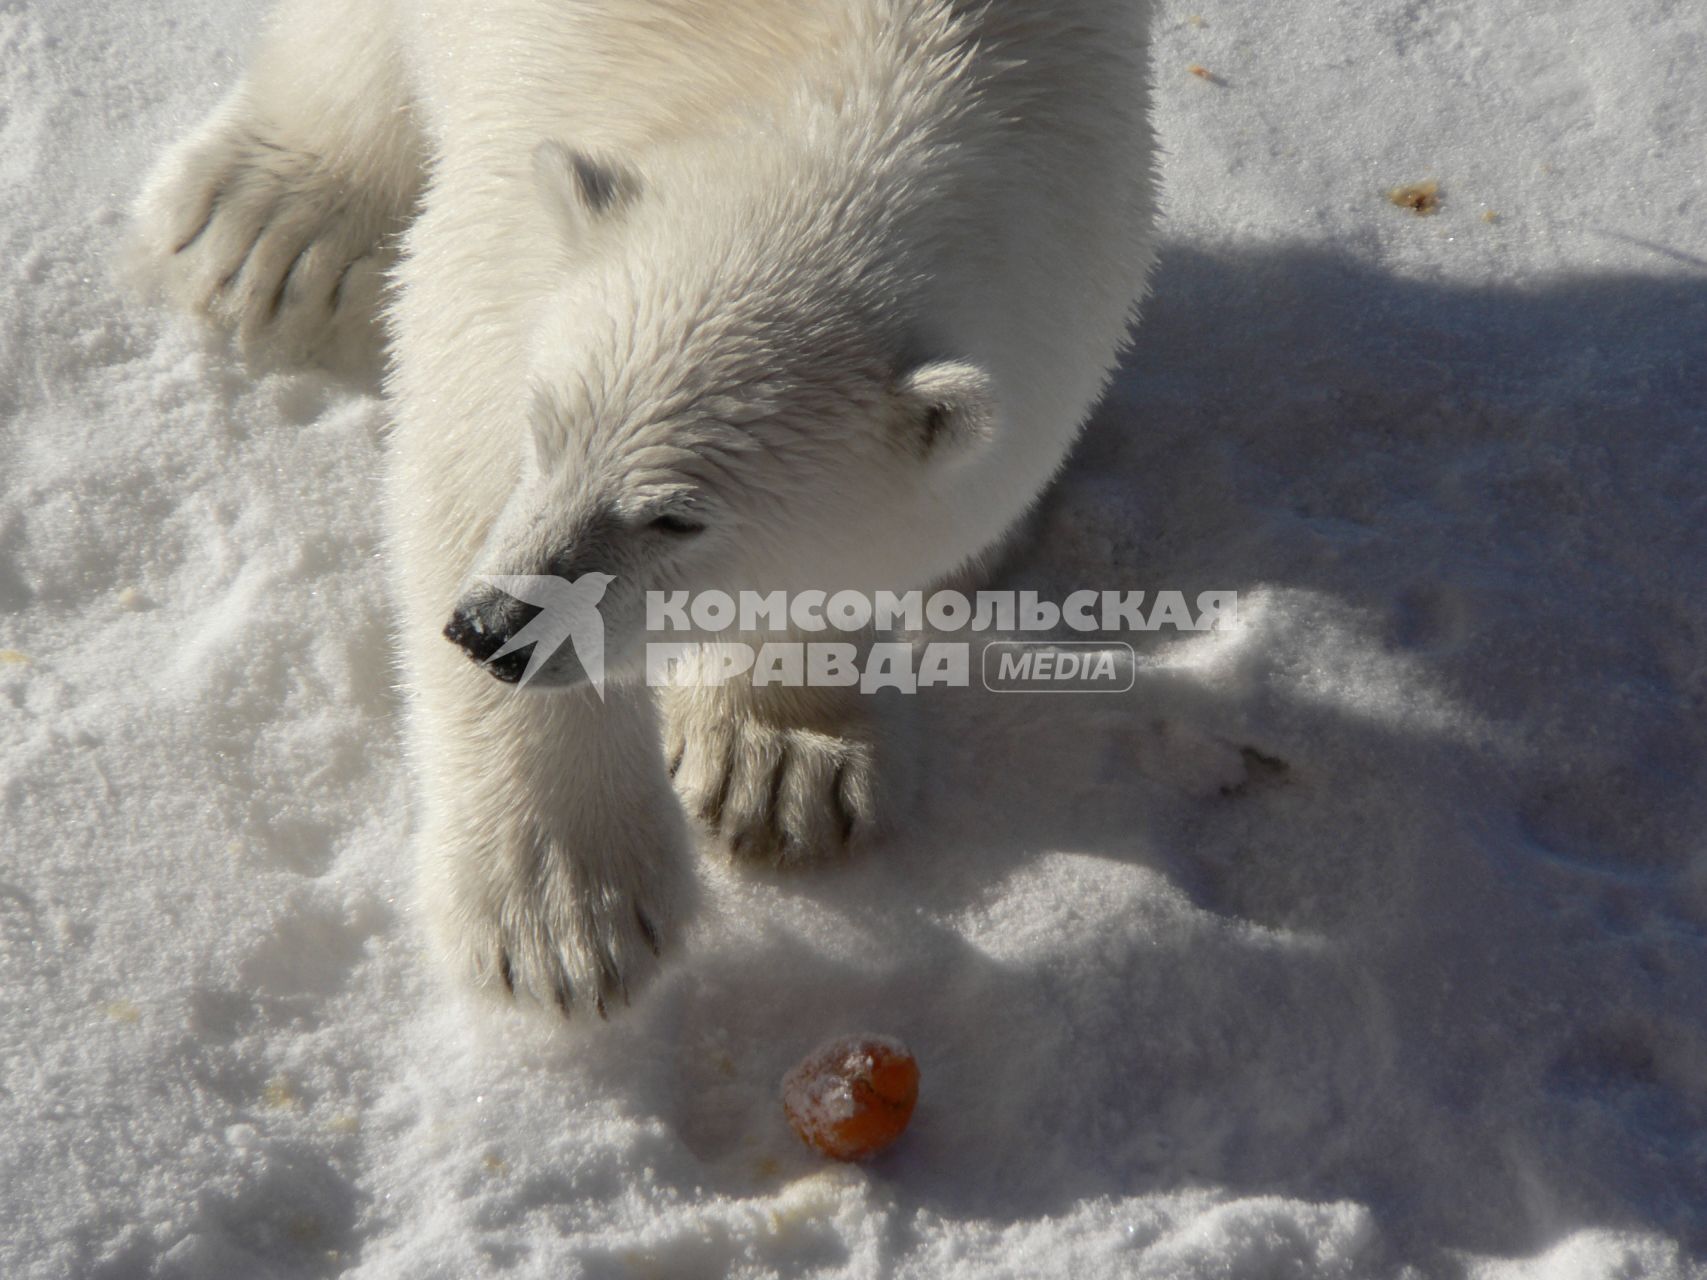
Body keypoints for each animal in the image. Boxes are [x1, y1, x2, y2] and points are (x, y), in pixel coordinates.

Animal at [136, 0, 1160, 1024]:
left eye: (677, 519)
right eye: (545, 429)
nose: (491, 629)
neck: (879, 69)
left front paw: (779, 768)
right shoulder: (511, 215)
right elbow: (462, 453)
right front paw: (561, 920)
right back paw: (270, 224)